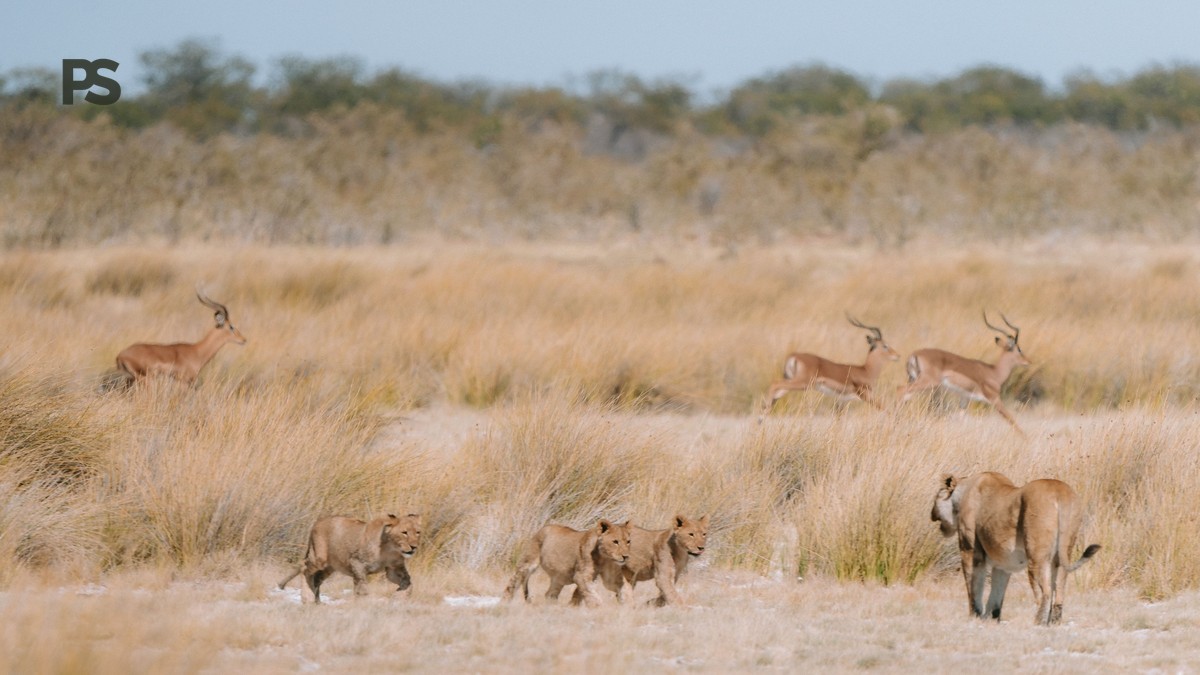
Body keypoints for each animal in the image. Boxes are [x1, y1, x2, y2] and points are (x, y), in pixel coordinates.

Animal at [278, 513, 422, 604]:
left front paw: (398, 597)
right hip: (319, 558)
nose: (414, 547)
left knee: (316, 579)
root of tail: (318, 521)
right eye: (404, 532)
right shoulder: (357, 562)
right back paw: (307, 598)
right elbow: (362, 588)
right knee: (304, 567)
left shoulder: (393, 569)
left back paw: (317, 602)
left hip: (330, 566)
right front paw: (362, 605)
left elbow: (408, 582)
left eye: (418, 532)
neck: (391, 549)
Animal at [503, 519, 632, 607]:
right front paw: (599, 609)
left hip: (559, 577)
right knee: (513, 584)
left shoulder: (612, 578)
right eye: (615, 542)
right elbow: (592, 595)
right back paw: (504, 603)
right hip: (527, 563)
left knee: (549, 594)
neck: (605, 558)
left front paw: (629, 606)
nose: (626, 556)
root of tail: (544, 527)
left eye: (628, 541)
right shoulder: (581, 576)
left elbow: (624, 588)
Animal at [931, 472, 1100, 625]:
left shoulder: (970, 552)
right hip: (1063, 552)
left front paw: (975, 616)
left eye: (937, 495)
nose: (931, 514)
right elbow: (997, 592)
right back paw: (1054, 621)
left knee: (1045, 591)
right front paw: (991, 618)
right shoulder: (1003, 563)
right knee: (1059, 588)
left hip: (1036, 556)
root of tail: (1059, 491)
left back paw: (1039, 621)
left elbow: (974, 586)